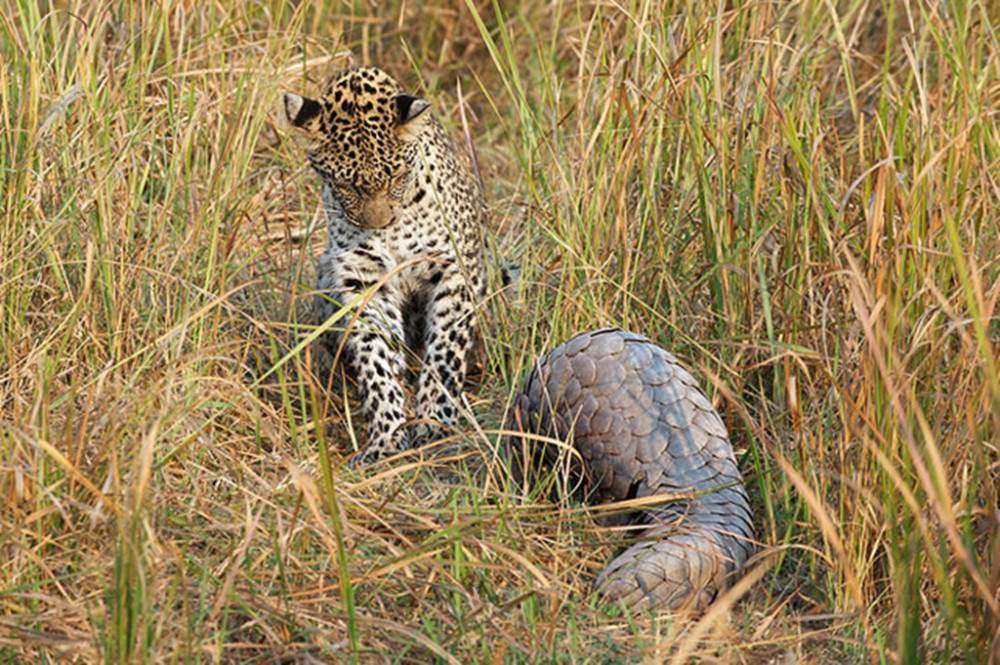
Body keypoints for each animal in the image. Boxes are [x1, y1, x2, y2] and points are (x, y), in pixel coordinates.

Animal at [284, 65, 486, 464]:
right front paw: (387, 437)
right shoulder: (364, 279)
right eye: (345, 184)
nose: (380, 224)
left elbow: (444, 351)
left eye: (396, 175)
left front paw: (435, 420)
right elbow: (376, 357)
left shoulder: (454, 269)